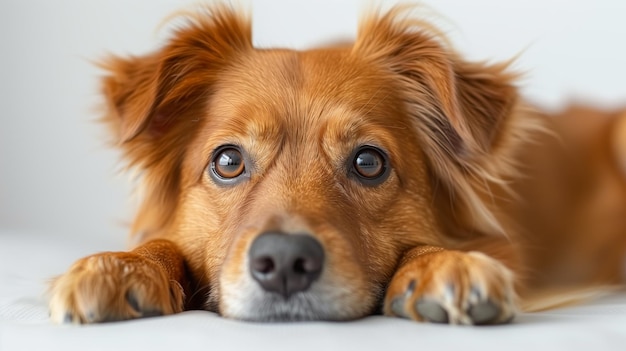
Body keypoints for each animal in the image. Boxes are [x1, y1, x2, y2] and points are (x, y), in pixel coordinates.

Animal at [48, 4, 624, 326]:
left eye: (368, 162)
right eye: (228, 161)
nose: (284, 263)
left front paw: (445, 264)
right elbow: (162, 242)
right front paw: (123, 266)